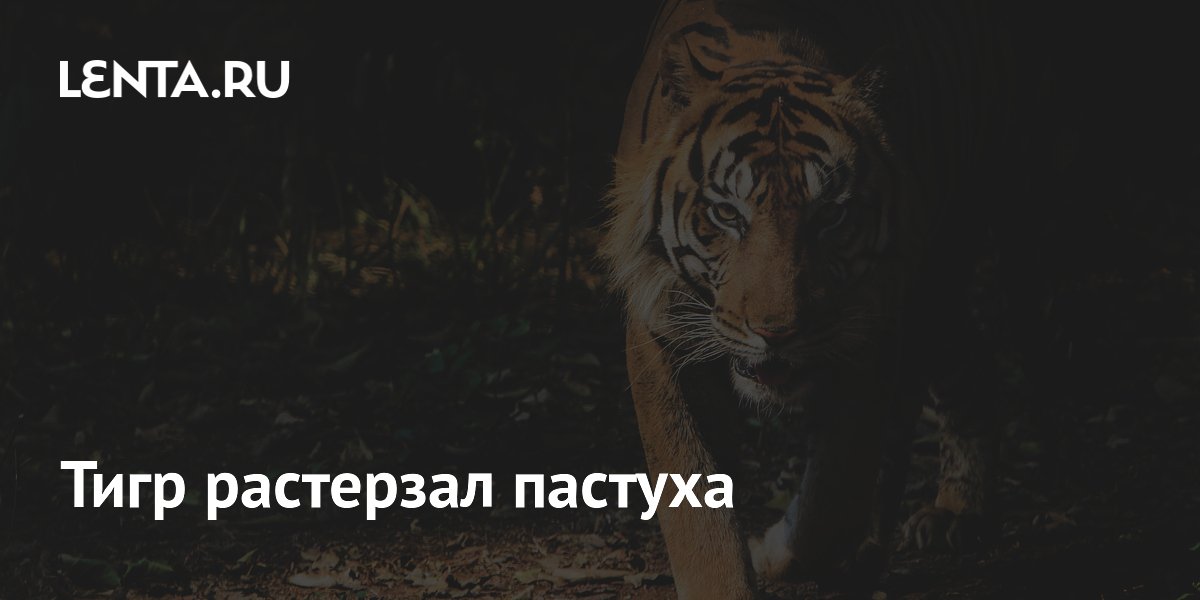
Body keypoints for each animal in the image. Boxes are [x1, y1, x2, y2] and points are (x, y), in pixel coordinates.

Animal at [600, 0, 1014, 597]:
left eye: (831, 215)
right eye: (727, 213)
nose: (776, 332)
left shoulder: (872, 327)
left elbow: (836, 497)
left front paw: (778, 551)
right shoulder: (661, 327)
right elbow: (696, 504)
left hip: (941, 255)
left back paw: (953, 512)